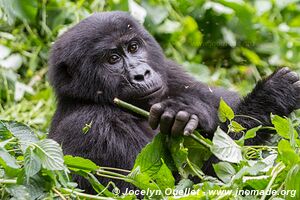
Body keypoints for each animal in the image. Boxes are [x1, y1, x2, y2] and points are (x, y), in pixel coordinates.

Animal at [48, 11, 300, 194]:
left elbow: (226, 106)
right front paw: (271, 96)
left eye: (133, 47)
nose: (141, 74)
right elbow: (178, 185)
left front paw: (190, 113)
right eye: (113, 59)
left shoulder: (169, 71)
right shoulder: (93, 124)